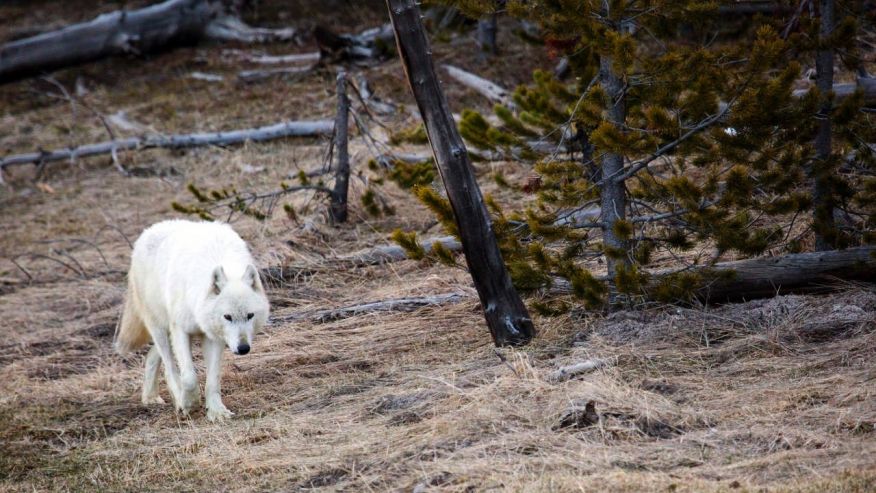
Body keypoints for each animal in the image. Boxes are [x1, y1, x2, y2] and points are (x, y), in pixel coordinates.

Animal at [115, 219, 270, 418]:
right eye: (227, 317)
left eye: (250, 316)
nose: (243, 348)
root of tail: (150, 230)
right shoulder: (181, 330)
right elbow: (189, 377)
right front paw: (189, 403)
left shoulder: (214, 336)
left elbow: (213, 379)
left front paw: (217, 412)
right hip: (160, 328)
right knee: (169, 367)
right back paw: (177, 400)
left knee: (151, 356)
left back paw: (150, 397)